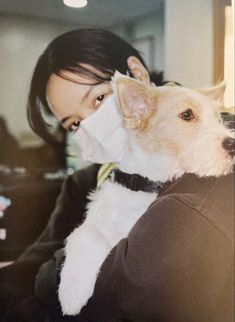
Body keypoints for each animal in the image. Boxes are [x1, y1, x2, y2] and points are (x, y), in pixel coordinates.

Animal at [57, 72, 234, 314]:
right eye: (187, 115)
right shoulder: (94, 223)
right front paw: (71, 294)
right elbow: (85, 236)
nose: (232, 144)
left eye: (217, 118)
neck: (144, 183)